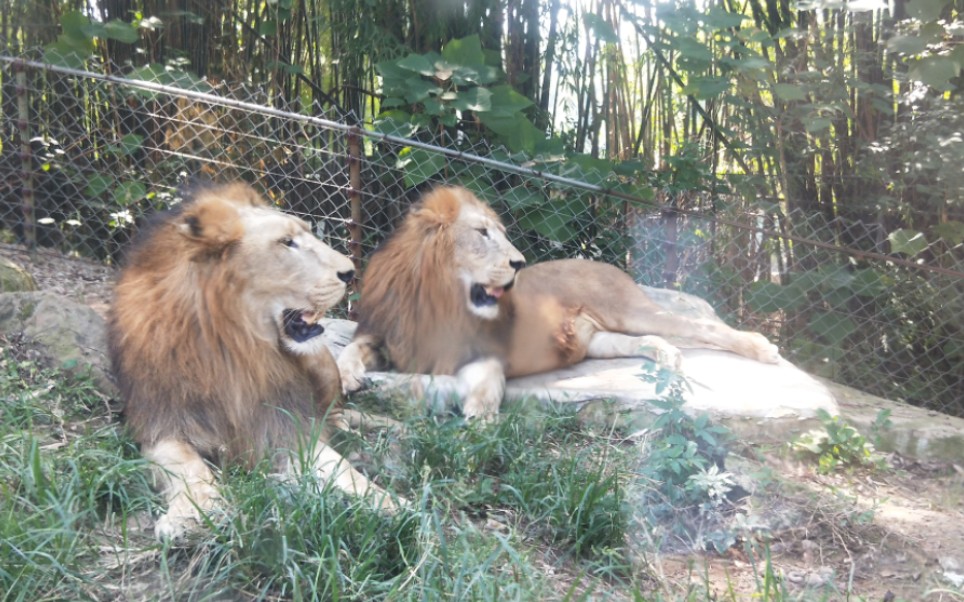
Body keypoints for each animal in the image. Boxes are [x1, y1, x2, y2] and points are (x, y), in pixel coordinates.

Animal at [107, 180, 402, 536]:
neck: (238, 346)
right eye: (286, 242)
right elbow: (188, 466)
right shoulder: (161, 425)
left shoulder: (283, 425)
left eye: (307, 233)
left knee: (336, 412)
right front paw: (193, 512)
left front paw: (399, 509)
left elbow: (343, 470)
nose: (350, 272)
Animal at [338, 185, 784, 420]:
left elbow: (486, 385)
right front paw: (345, 376)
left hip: (630, 310)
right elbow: (351, 349)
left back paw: (762, 348)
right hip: (600, 339)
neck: (439, 297)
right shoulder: (385, 334)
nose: (519, 262)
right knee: (642, 342)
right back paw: (667, 356)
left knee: (699, 326)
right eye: (483, 234)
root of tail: (607, 264)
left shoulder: (485, 351)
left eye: (502, 233)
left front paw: (480, 422)